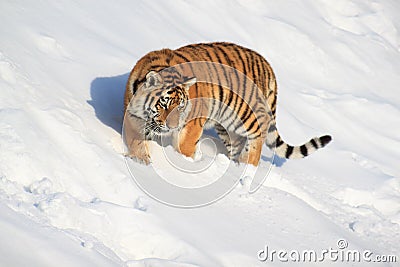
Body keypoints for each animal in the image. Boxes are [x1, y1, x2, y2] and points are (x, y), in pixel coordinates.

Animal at [122, 42, 332, 166]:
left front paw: (182, 162)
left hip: (248, 115)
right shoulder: (132, 115)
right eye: (164, 103)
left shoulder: (192, 123)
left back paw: (247, 169)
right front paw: (141, 161)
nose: (172, 126)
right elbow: (135, 140)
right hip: (227, 126)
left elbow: (185, 147)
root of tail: (269, 66)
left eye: (180, 106)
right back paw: (235, 166)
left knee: (258, 137)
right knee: (238, 145)